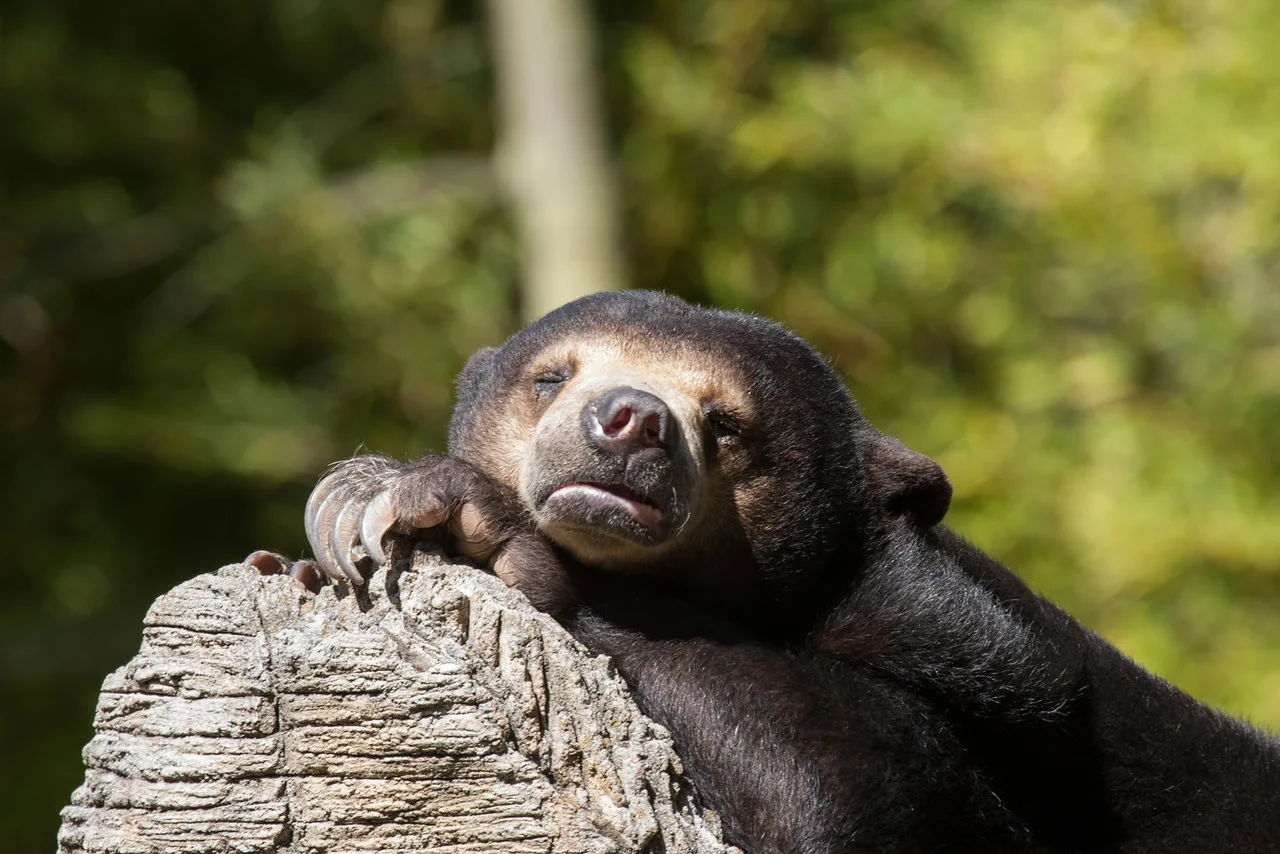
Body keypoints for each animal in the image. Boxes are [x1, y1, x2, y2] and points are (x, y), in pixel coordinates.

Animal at [254, 290, 1280, 854]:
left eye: (728, 424)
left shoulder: (990, 671)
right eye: (551, 376)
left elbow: (847, 781)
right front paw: (310, 551)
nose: (628, 420)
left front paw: (417, 498)